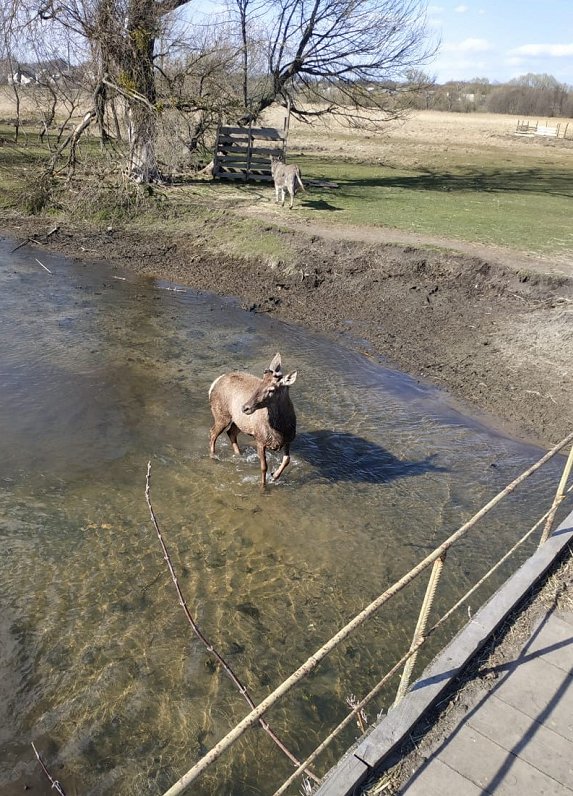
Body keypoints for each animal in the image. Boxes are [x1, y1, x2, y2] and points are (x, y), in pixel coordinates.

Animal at [210, 352, 300, 486]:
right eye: (260, 383)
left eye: (272, 389)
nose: (245, 407)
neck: (281, 429)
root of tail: (215, 382)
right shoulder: (260, 439)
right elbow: (263, 467)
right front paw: (263, 485)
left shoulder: (289, 440)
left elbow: (287, 459)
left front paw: (274, 476)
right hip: (221, 414)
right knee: (213, 433)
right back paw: (213, 456)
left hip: (240, 422)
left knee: (231, 432)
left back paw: (239, 455)